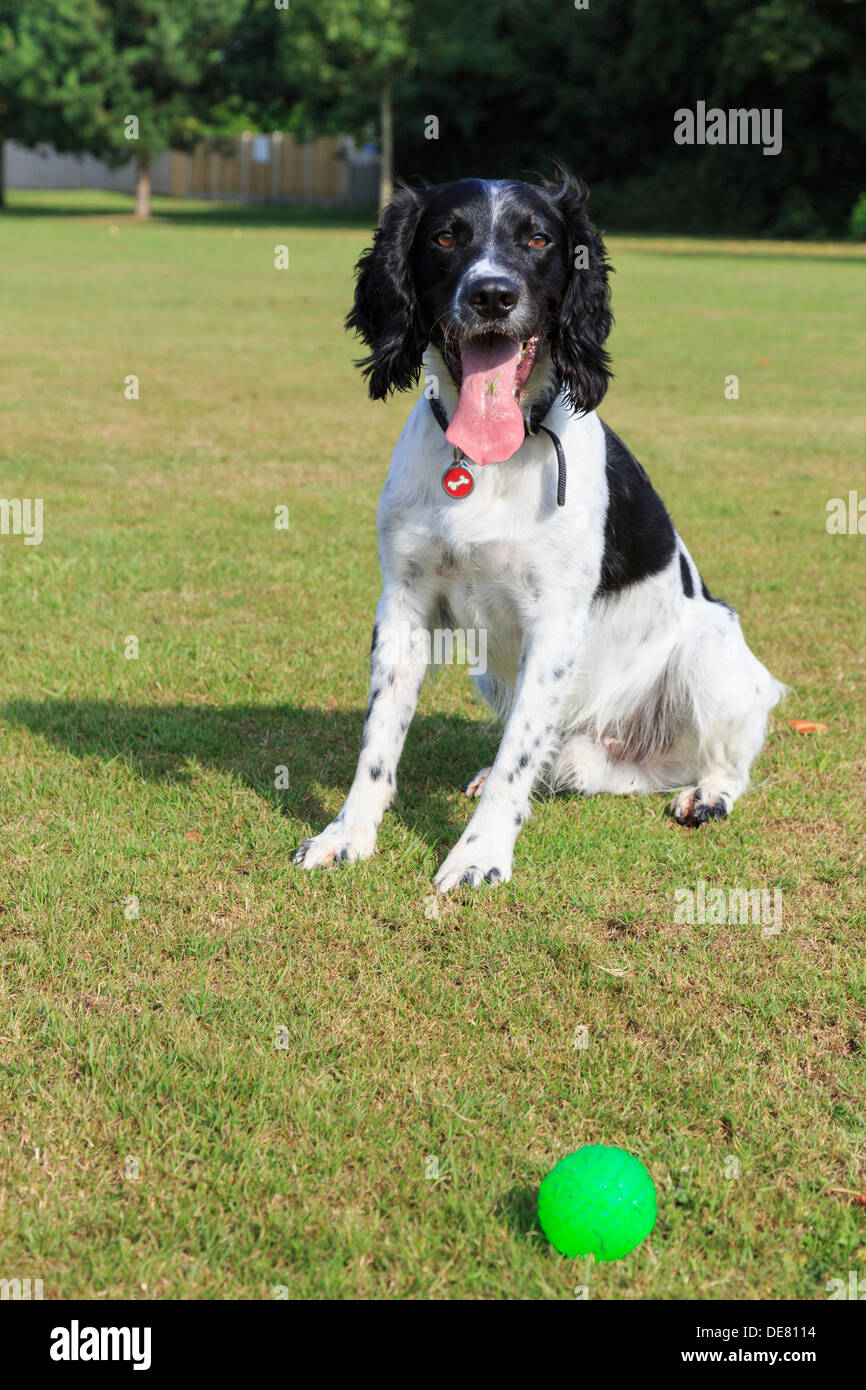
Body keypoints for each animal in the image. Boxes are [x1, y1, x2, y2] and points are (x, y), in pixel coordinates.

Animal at [294, 170, 783, 889]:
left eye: (538, 239)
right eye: (446, 237)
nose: (493, 294)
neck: (488, 463)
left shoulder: (553, 623)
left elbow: (517, 757)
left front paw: (479, 854)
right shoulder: (404, 603)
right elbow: (380, 740)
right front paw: (347, 834)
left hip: (710, 650)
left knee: (719, 764)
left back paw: (707, 795)